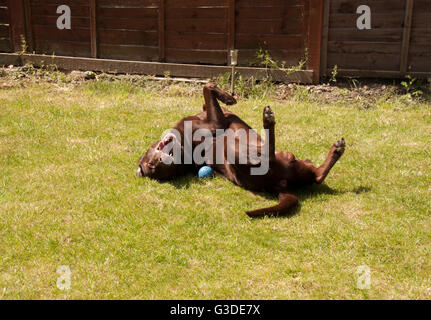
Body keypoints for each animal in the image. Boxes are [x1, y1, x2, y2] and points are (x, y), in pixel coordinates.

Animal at [137, 82, 346, 218]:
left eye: (150, 166)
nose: (160, 162)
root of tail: (278, 185)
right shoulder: (216, 121)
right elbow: (207, 87)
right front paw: (228, 97)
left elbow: (206, 97)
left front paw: (224, 97)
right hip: (236, 150)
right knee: (267, 153)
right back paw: (268, 120)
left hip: (296, 165)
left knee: (317, 175)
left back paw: (337, 149)